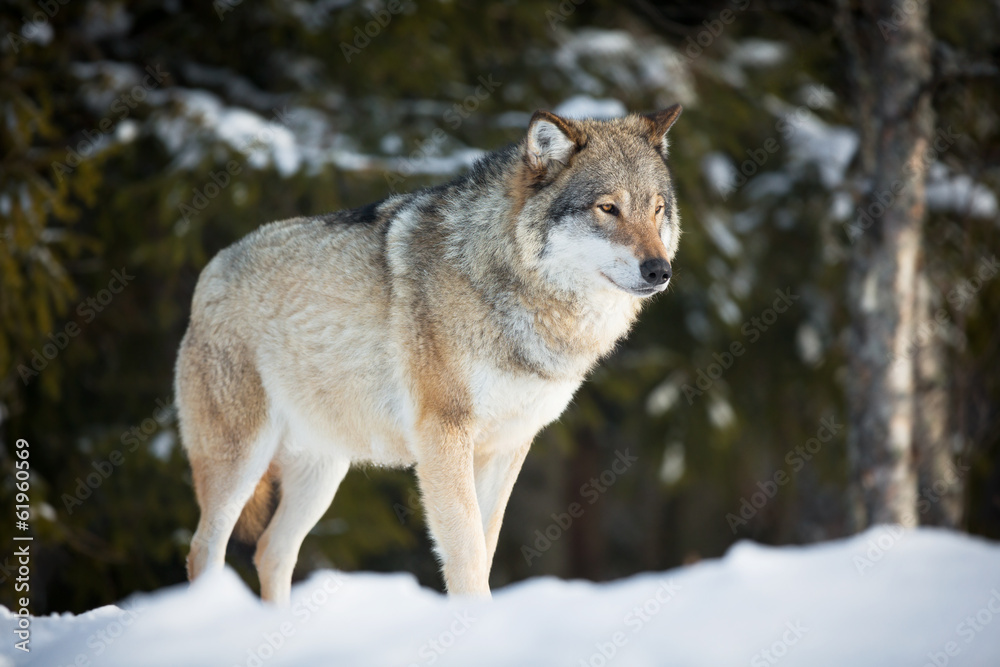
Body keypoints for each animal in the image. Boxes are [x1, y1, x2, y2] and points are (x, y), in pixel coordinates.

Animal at [176, 104, 684, 600]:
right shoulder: (444, 434)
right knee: (204, 549)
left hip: (322, 473)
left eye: (657, 209)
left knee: (271, 552)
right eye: (608, 208)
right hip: (242, 460)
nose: (660, 271)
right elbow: (467, 555)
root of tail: (211, 269)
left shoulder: (507, 445)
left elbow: (487, 546)